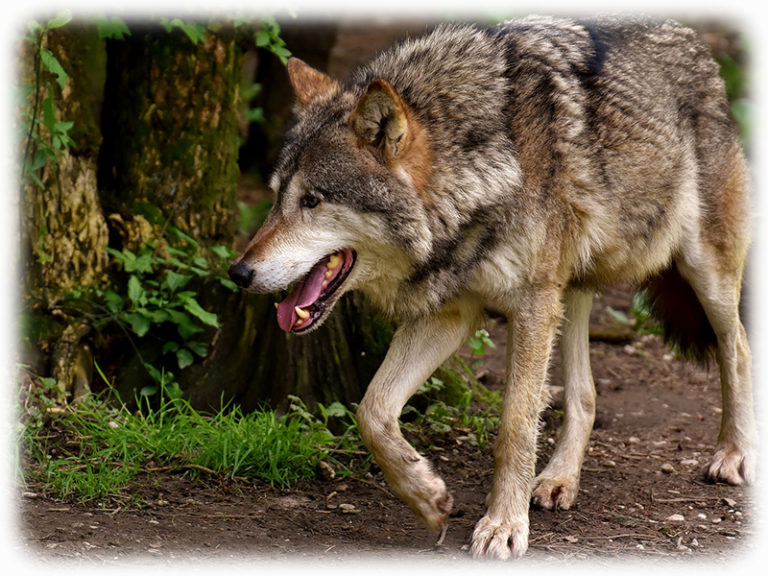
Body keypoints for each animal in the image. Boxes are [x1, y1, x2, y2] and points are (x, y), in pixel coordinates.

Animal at [229, 15, 755, 559]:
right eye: (275, 199)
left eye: (312, 200)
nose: (239, 272)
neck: (480, 170)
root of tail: (693, 39)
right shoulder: (452, 313)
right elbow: (371, 411)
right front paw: (426, 497)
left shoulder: (529, 305)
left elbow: (514, 426)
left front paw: (504, 525)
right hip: (569, 290)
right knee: (584, 395)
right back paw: (559, 480)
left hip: (701, 271)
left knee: (737, 346)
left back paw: (734, 454)